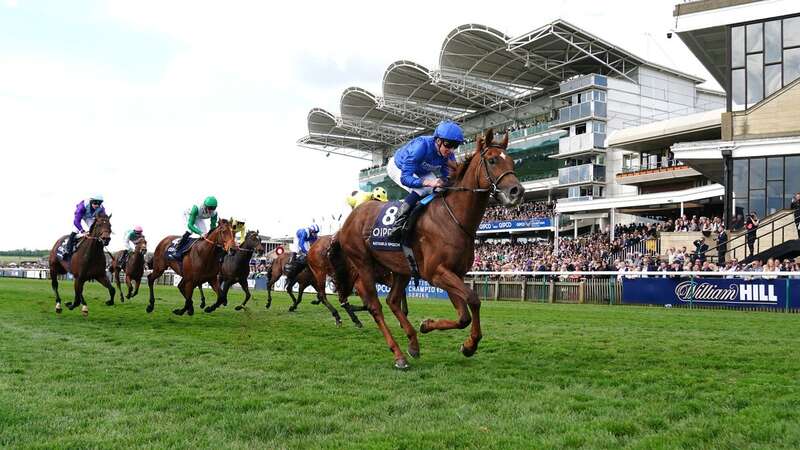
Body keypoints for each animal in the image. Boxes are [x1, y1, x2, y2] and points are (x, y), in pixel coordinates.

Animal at [330, 130, 524, 370]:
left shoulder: (454, 273)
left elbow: (464, 317)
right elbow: (473, 299)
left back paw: (413, 343)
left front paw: (431, 327)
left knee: (392, 300)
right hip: (363, 264)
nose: (517, 191)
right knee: (375, 307)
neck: (453, 218)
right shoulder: (435, 272)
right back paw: (399, 355)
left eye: (512, 161)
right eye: (492, 160)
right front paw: (469, 345)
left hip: (401, 269)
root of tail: (349, 219)